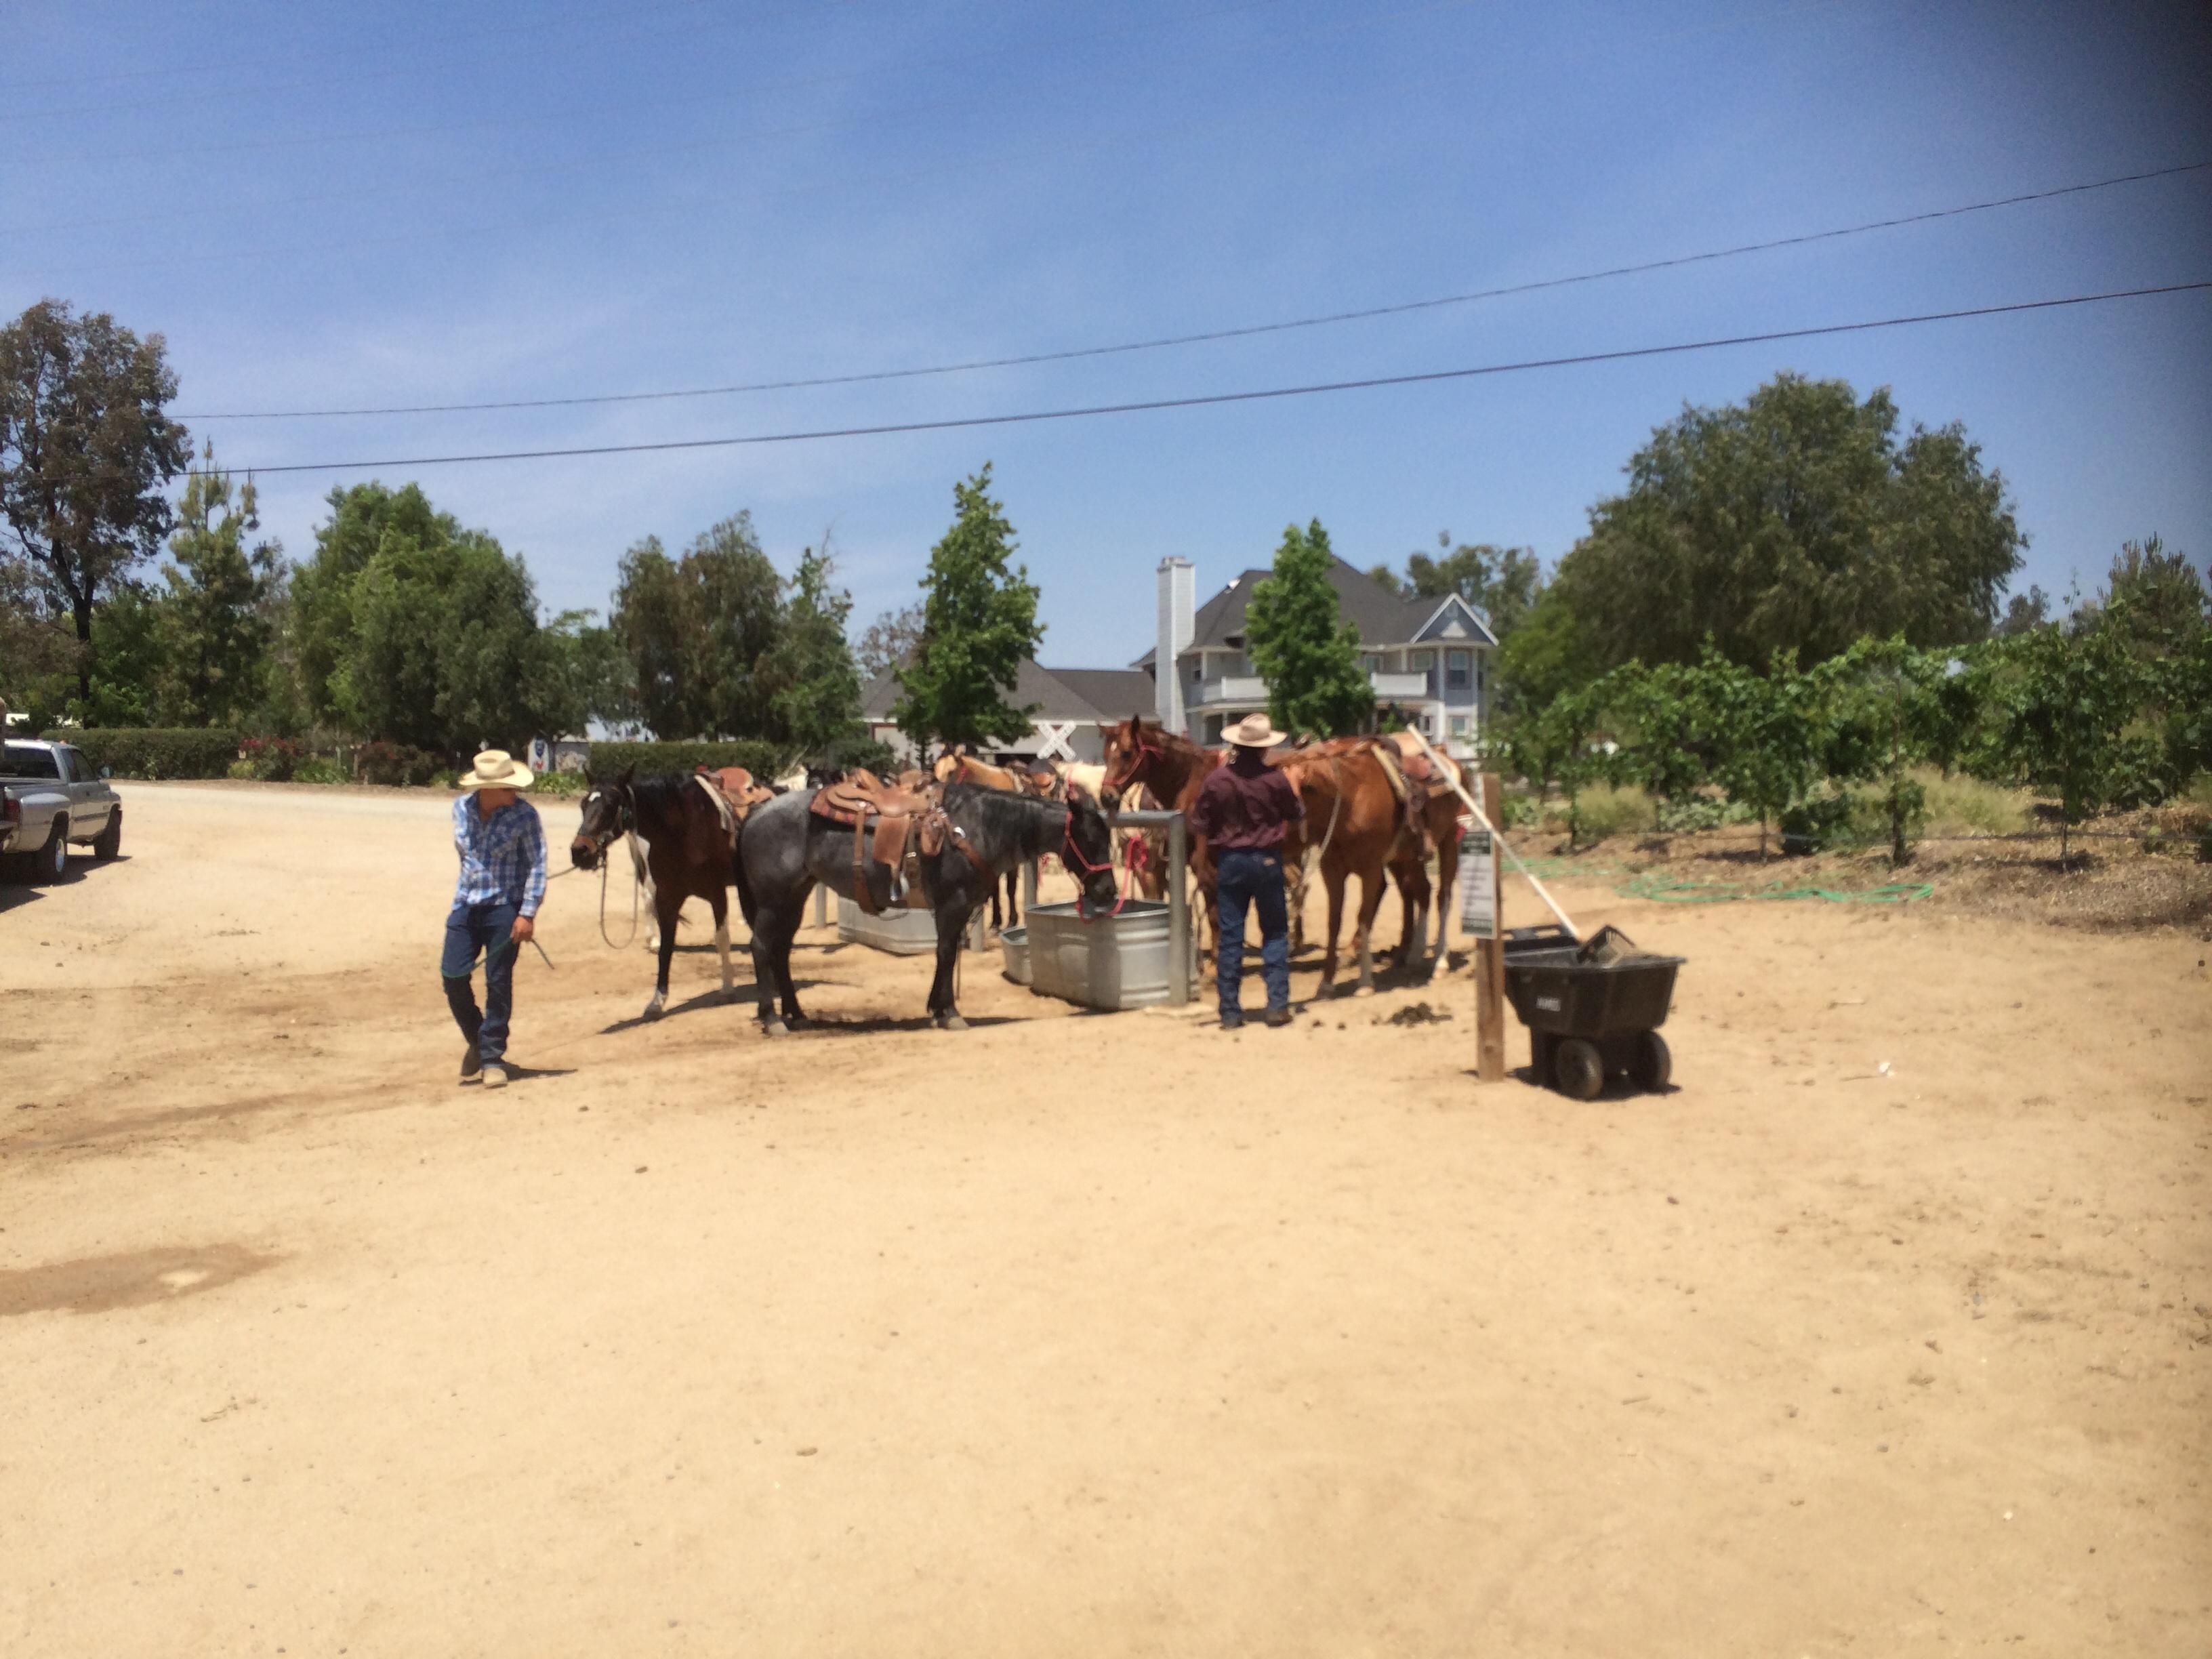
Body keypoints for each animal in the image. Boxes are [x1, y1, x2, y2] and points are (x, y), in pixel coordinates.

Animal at [571, 769, 743, 1026]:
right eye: (583, 804)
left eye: (611, 805)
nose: (579, 852)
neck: (685, 830)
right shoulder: (668, 898)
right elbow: (665, 950)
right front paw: (657, 1002)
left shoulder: (717, 893)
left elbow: (722, 939)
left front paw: (727, 989)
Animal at [739, 783, 1124, 1040]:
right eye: (1091, 840)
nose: (1108, 891)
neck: (977, 826)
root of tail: (758, 811)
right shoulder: (952, 905)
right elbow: (946, 954)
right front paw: (949, 1013)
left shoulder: (956, 909)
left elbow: (945, 955)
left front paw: (937, 1009)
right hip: (773, 901)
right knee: (761, 948)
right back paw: (772, 1019)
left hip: (795, 896)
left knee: (781, 952)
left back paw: (796, 1014)